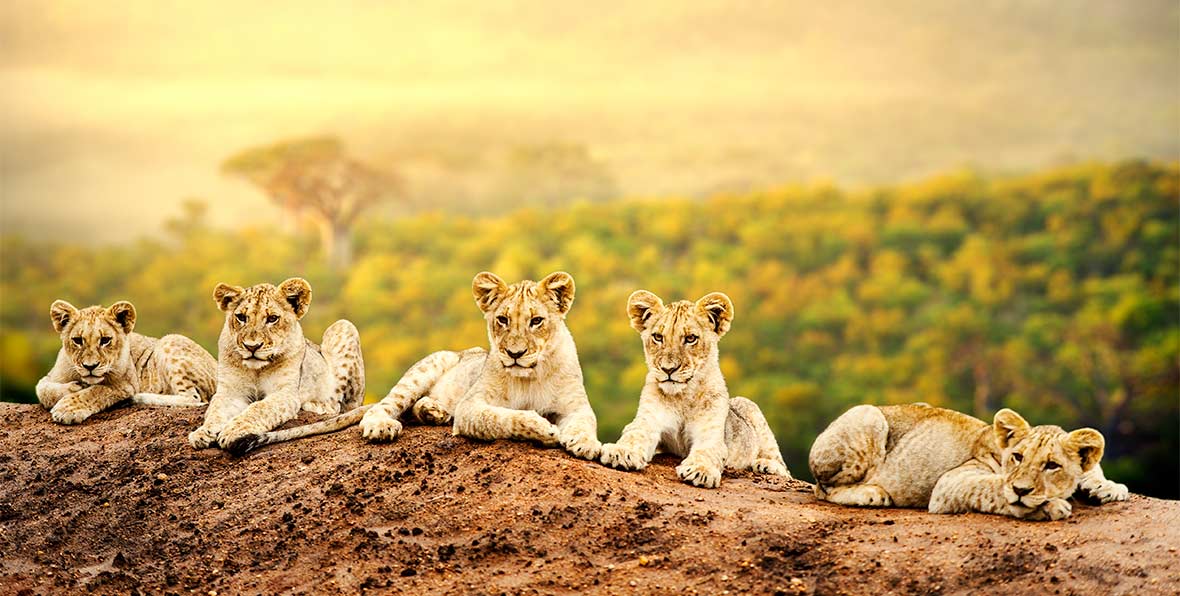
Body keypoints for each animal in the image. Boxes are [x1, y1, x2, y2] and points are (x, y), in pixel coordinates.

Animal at [35, 300, 217, 424]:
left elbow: (97, 391)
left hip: (170, 339)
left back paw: (137, 397)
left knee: (195, 398)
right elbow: (42, 390)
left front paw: (68, 409)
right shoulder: (50, 376)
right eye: (78, 340)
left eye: (105, 340)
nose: (90, 367)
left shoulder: (125, 384)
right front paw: (73, 388)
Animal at [187, 278, 367, 455]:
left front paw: (234, 431)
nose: (252, 346)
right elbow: (216, 411)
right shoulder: (230, 392)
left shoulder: (286, 393)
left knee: (339, 406)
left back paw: (316, 405)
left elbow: (259, 408)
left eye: (272, 318)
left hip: (343, 326)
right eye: (241, 317)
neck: (256, 370)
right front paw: (203, 432)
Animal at [359, 271, 602, 460]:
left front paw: (587, 444)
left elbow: (585, 421)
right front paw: (543, 427)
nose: (515, 354)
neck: (531, 376)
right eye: (503, 319)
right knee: (387, 404)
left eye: (536, 321)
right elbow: (503, 417)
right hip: (427, 368)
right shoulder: (470, 406)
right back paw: (381, 425)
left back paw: (434, 412)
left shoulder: (575, 405)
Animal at [598, 290, 791, 488]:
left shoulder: (711, 434)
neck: (682, 396)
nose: (668, 369)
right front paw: (621, 452)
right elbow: (634, 434)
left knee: (784, 467)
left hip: (752, 408)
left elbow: (706, 451)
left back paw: (765, 465)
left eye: (691, 338)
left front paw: (700, 471)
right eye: (658, 337)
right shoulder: (648, 420)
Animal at [809, 403, 1130, 520]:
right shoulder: (948, 485)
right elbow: (994, 488)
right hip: (870, 416)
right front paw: (1047, 506)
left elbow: (1092, 468)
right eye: (1017, 457)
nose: (1022, 489)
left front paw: (1108, 487)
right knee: (823, 489)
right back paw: (872, 493)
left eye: (1052, 465)